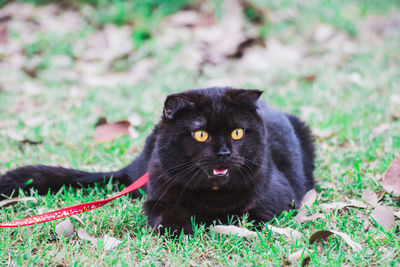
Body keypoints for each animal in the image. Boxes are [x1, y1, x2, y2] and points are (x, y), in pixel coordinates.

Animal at [0, 88, 316, 234]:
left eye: (237, 132)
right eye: (200, 134)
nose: (224, 152)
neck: (211, 196)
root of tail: (135, 166)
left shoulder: (276, 199)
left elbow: (249, 215)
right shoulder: (158, 197)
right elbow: (165, 214)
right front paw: (179, 231)